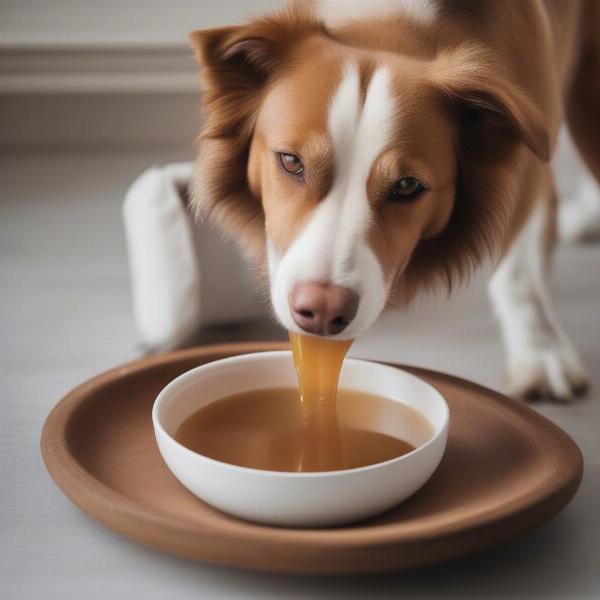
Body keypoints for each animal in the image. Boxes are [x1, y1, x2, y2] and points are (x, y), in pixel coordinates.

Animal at [190, 1, 596, 404]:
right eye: (291, 161)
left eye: (406, 185)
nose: (322, 311)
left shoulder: (528, 162)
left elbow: (518, 266)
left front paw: (541, 352)